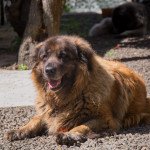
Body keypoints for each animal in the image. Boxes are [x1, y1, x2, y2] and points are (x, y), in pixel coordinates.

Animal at [5, 35, 150, 146]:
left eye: (63, 56)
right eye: (44, 56)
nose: (48, 70)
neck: (67, 97)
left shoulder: (107, 120)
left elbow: (83, 126)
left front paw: (69, 134)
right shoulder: (47, 111)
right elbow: (35, 120)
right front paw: (20, 130)